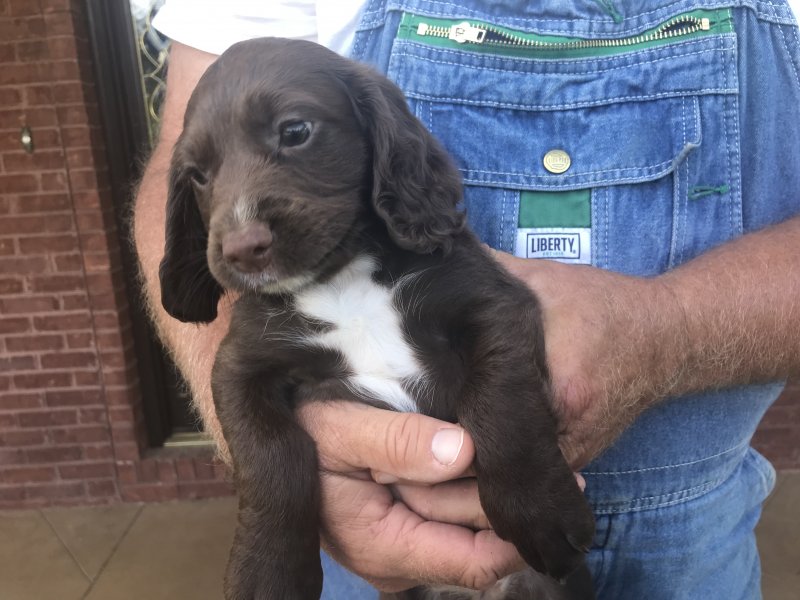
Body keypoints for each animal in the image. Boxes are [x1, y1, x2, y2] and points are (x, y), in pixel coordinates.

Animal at [159, 37, 592, 600]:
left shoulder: (491, 303)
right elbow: (269, 457)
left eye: (295, 132)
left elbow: (502, 400)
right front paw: (267, 570)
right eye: (198, 175)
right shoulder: (241, 366)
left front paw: (539, 511)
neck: (342, 281)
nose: (241, 250)